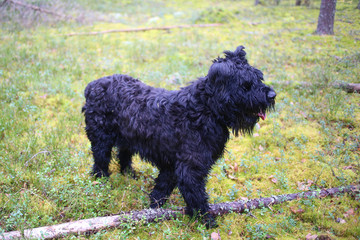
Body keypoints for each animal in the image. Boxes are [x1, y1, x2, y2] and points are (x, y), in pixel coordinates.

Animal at [83, 46, 278, 228]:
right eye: (246, 84)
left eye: (259, 77)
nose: (272, 95)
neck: (206, 109)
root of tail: (91, 86)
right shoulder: (190, 168)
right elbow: (197, 198)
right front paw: (207, 221)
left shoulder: (173, 164)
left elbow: (162, 188)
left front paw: (154, 207)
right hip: (101, 140)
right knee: (100, 162)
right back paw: (101, 181)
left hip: (127, 138)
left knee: (123, 155)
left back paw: (129, 174)